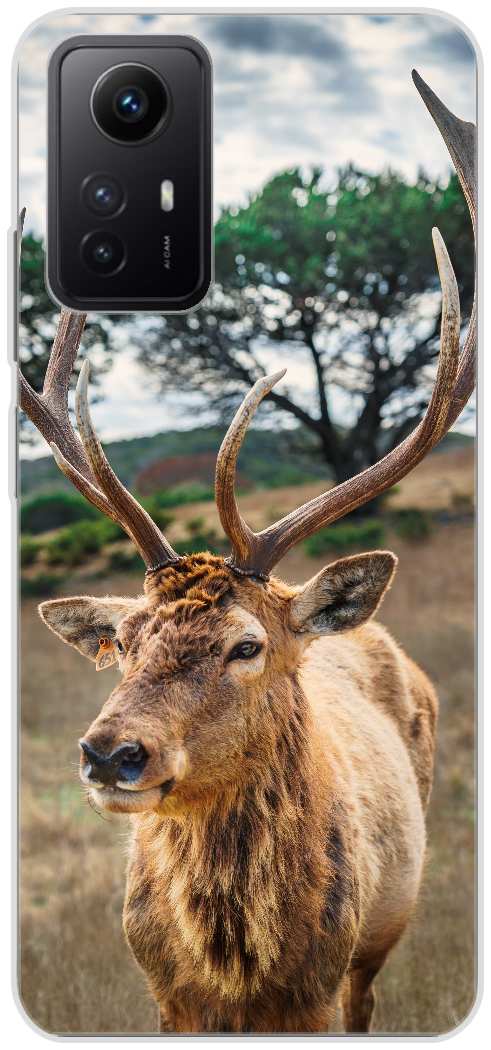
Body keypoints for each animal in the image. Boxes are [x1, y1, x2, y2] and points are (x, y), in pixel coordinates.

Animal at [20, 72, 475, 1033]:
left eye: (246, 644)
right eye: (124, 642)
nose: (110, 753)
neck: (238, 971)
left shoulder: (323, 987)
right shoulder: (164, 997)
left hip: (379, 944)